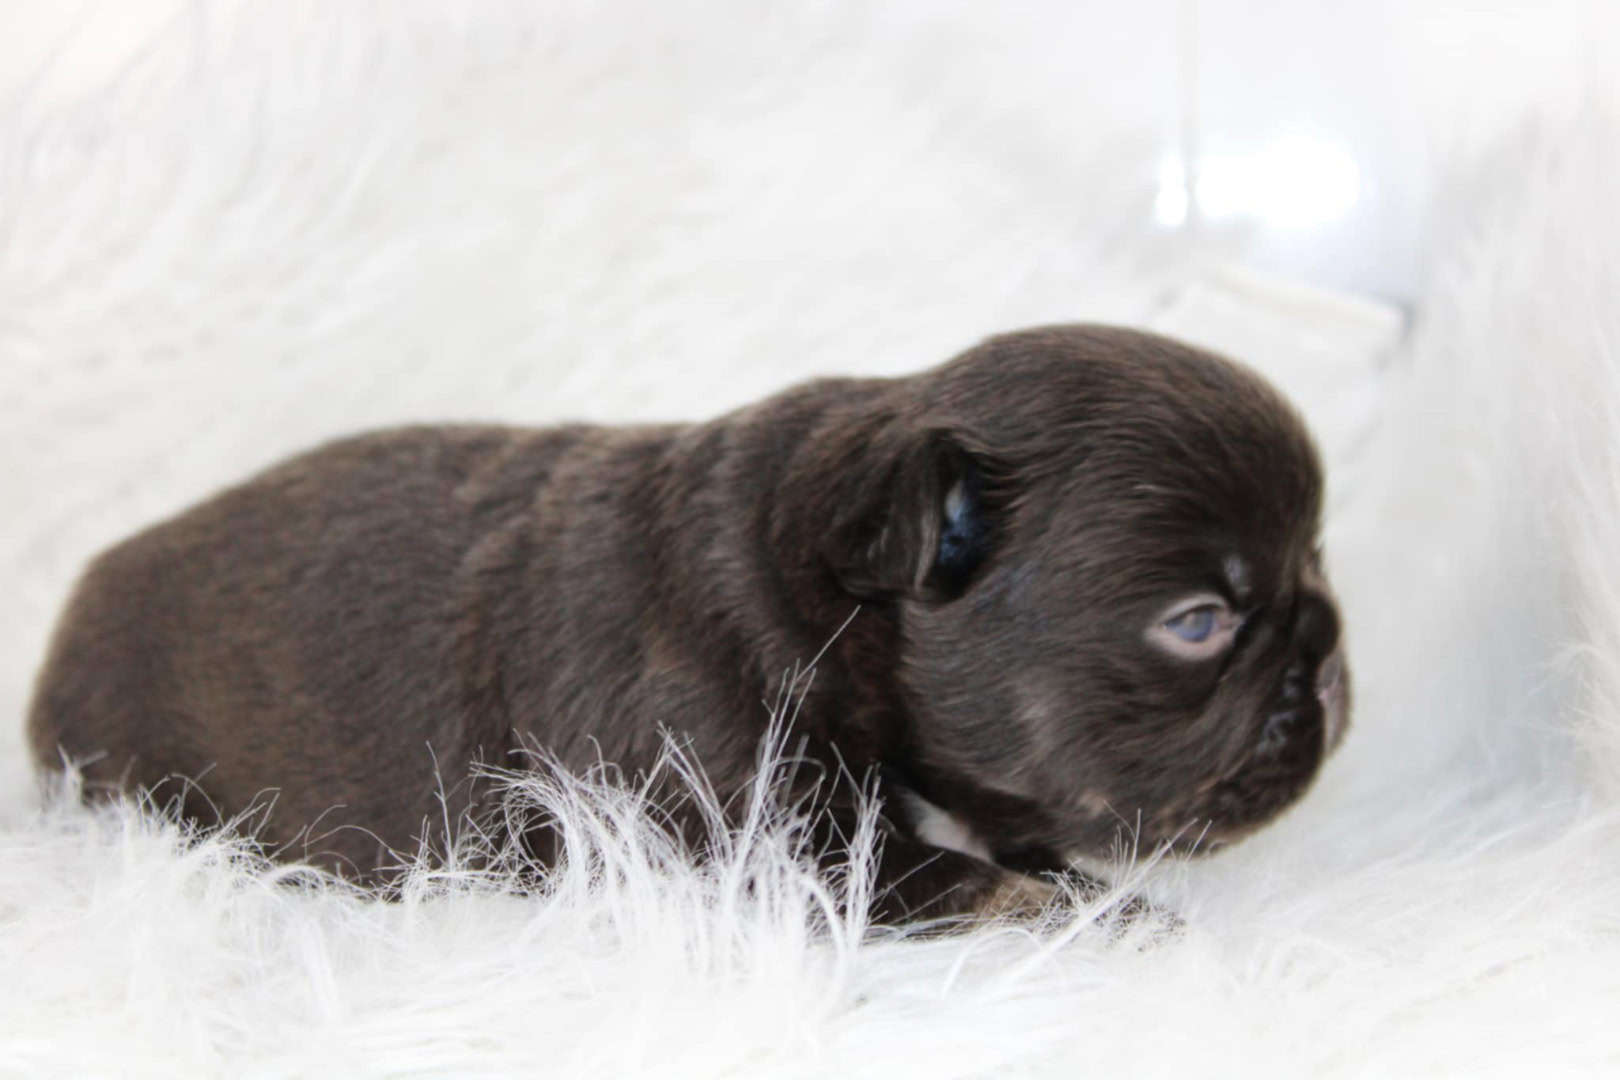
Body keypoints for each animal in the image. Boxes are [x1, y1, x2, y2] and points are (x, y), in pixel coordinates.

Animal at [25, 327, 1347, 919]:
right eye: (1199, 622)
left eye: (1318, 555)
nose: (1328, 663)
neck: (822, 606)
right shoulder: (780, 848)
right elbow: (979, 887)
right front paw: (1111, 920)